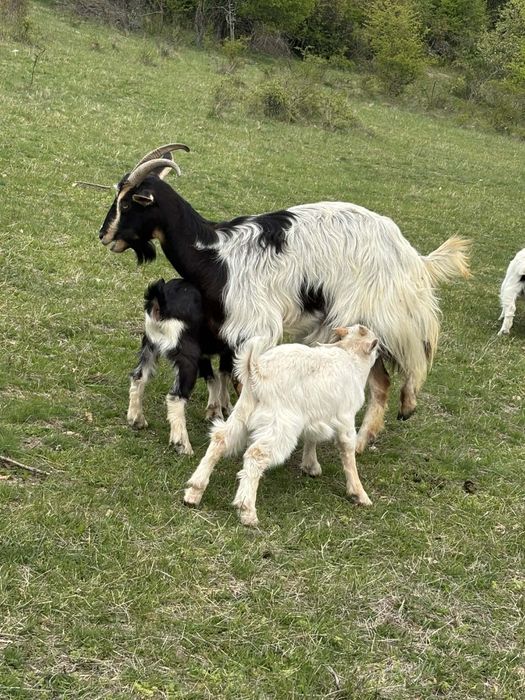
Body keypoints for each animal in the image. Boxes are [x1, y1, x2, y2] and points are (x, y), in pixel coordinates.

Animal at [128, 277, 233, 455]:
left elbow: (212, 378)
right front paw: (225, 407)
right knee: (175, 397)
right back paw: (182, 444)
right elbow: (225, 375)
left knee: (138, 377)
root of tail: (161, 300)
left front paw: (214, 410)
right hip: (186, 357)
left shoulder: (203, 353)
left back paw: (136, 419)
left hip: (150, 345)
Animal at [184, 325, 378, 526]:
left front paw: (311, 466)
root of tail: (256, 370)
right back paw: (247, 511)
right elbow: (348, 453)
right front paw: (360, 494)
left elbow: (312, 439)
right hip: (281, 424)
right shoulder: (345, 419)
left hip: (242, 413)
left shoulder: (314, 416)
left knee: (220, 439)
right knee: (256, 454)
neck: (350, 358)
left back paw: (193, 492)